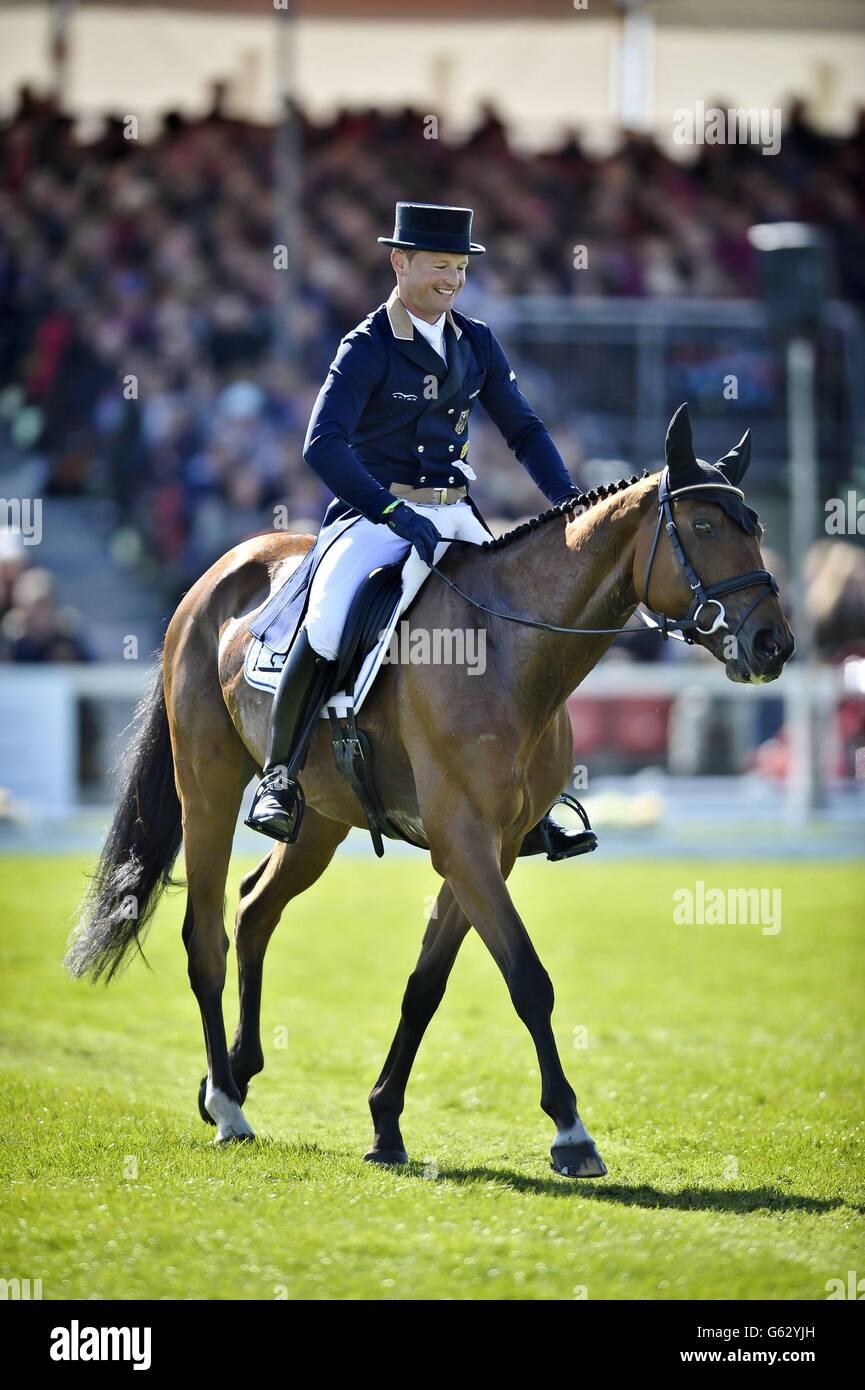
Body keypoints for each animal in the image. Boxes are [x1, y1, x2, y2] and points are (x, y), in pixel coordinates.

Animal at [66, 405, 801, 1178]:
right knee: (205, 932)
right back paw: (229, 1108)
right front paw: (571, 1133)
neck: (508, 649)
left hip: (319, 819)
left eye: (755, 525)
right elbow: (528, 978)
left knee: (255, 908)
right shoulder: (463, 841)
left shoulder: (489, 849)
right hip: (205, 785)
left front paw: (385, 1123)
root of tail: (218, 573)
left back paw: (231, 1075)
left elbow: (426, 986)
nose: (771, 644)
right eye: (704, 527)